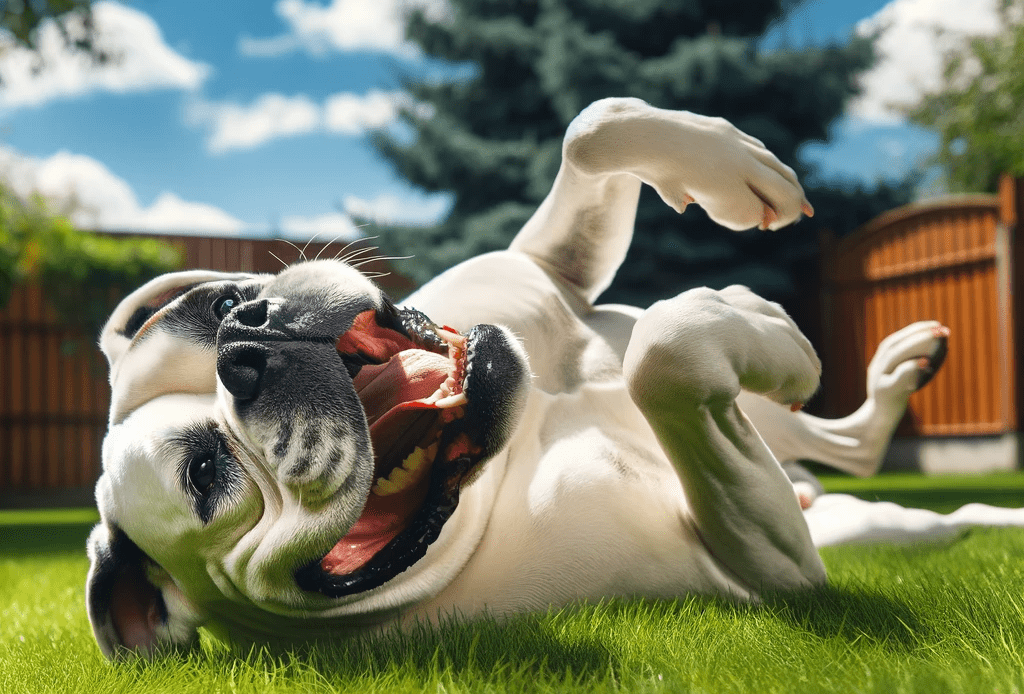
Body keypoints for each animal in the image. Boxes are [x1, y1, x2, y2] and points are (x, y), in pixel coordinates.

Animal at [92, 96, 995, 659]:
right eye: (204, 473)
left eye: (218, 304)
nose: (246, 343)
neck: (492, 478)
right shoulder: (766, 571)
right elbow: (666, 355)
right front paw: (753, 327)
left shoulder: (549, 268)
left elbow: (591, 127)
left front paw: (732, 186)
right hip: (863, 529)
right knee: (913, 499)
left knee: (845, 439)